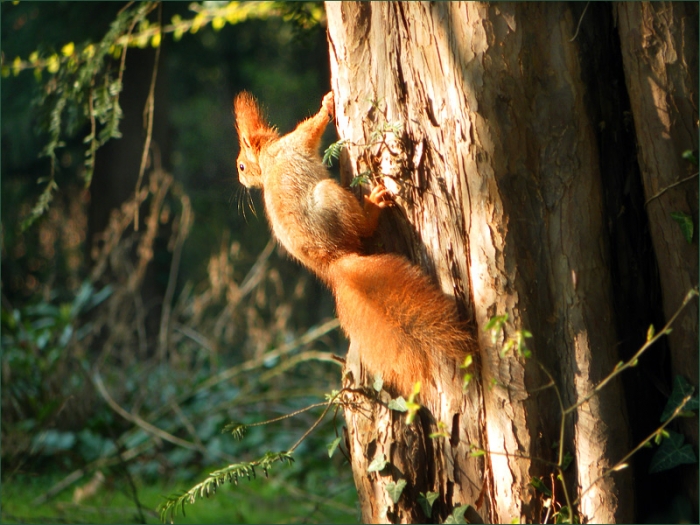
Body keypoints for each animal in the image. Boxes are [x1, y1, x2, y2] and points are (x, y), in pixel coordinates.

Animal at [234, 90, 471, 397]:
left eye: (240, 165)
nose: (241, 178)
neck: (268, 157)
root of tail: (334, 262)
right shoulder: (296, 143)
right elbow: (313, 128)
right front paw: (326, 106)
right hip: (332, 197)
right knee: (361, 227)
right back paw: (374, 206)